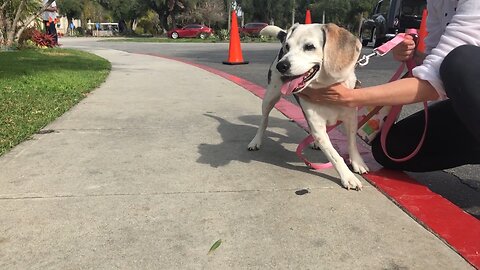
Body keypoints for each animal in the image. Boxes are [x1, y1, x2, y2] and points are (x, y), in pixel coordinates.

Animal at [248, 23, 368, 190]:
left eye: (309, 47)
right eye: (287, 46)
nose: (281, 65)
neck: (326, 88)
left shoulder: (351, 119)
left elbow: (352, 143)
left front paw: (357, 162)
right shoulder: (317, 127)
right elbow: (335, 156)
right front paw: (348, 177)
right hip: (269, 98)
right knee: (264, 121)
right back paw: (255, 141)